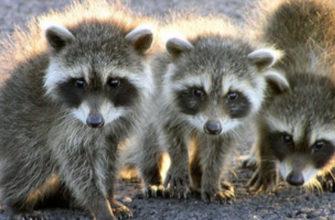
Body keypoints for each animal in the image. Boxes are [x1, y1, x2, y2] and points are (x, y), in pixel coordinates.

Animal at [0, 0, 155, 219]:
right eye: (80, 82)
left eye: (114, 82)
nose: (95, 122)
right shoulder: (65, 124)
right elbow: (75, 163)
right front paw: (99, 203)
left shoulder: (117, 125)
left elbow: (108, 160)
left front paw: (109, 196)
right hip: (18, 130)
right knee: (32, 163)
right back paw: (17, 202)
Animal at [138, 14, 290, 202]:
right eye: (197, 92)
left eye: (232, 95)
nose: (212, 127)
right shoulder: (165, 101)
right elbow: (172, 135)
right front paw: (179, 165)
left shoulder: (231, 123)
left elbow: (219, 150)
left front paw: (212, 178)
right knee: (150, 138)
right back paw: (153, 176)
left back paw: (197, 175)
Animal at [247, 0, 335, 192]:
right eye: (287, 138)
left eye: (319, 145)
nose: (294, 179)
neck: (313, 75)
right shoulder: (267, 95)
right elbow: (262, 126)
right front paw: (266, 162)